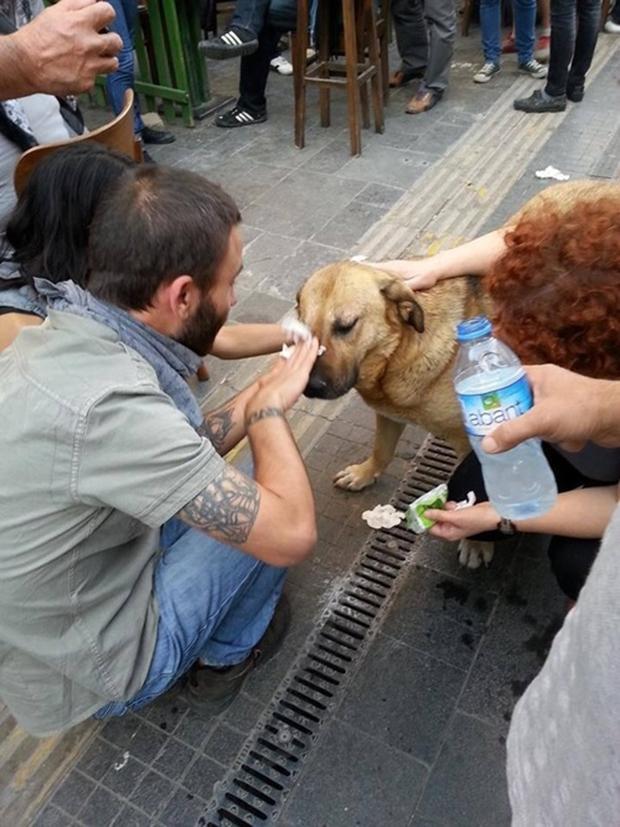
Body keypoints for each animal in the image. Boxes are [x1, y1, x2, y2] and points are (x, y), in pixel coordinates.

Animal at [300, 264, 494, 568]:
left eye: (346, 326)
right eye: (303, 330)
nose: (311, 386)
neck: (401, 350)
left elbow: (481, 490)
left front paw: (476, 540)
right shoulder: (388, 413)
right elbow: (381, 450)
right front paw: (364, 474)